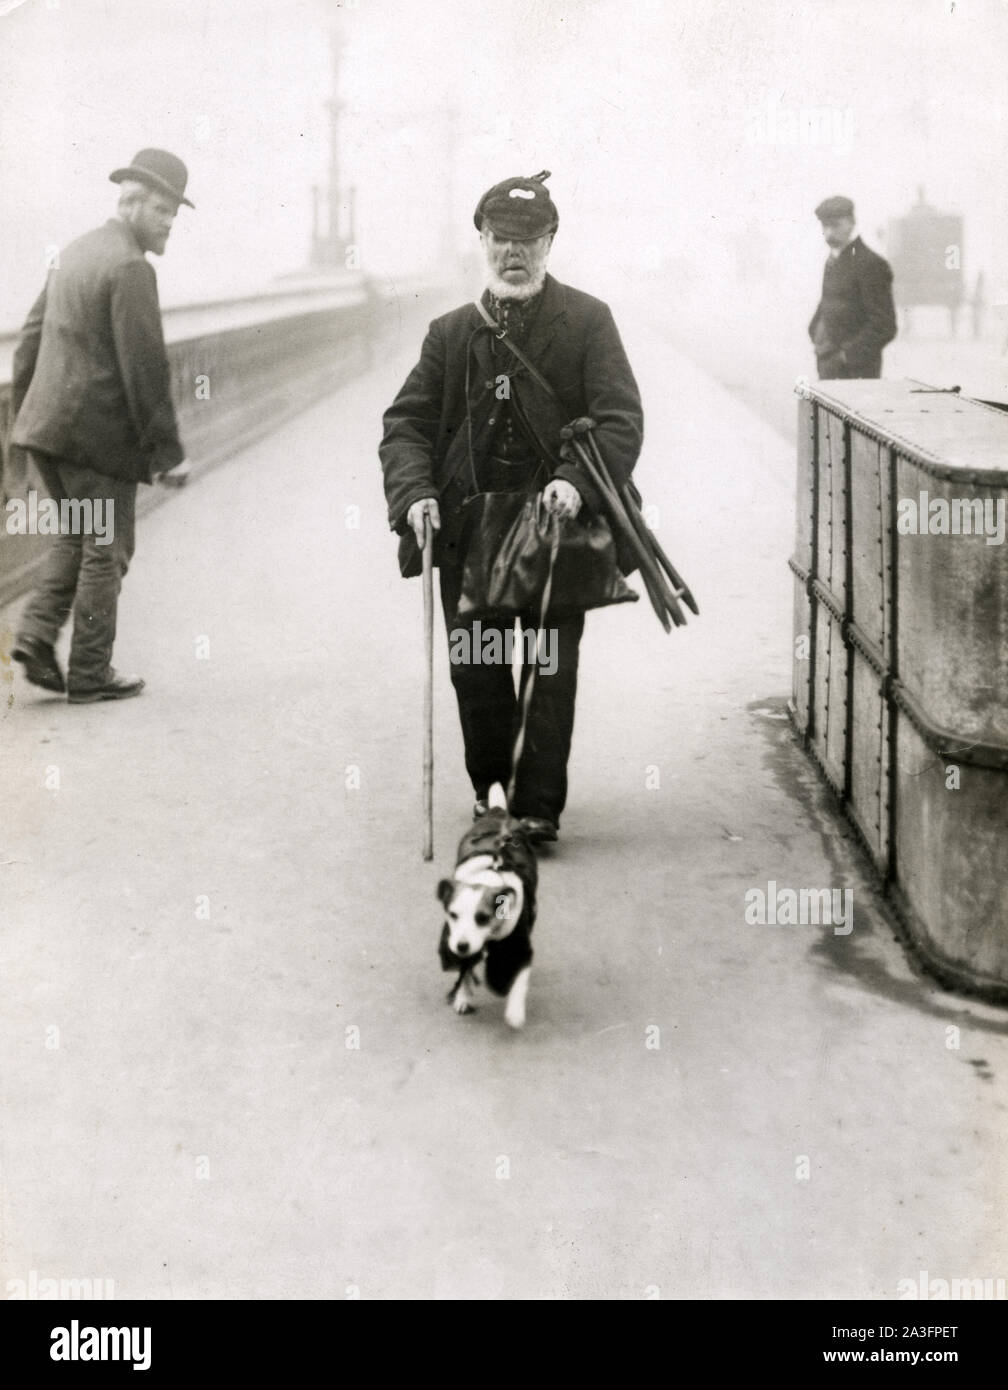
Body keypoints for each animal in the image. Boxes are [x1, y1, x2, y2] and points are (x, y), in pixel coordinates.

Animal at [436, 789, 539, 1028]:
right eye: (453, 915)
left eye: (482, 917)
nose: (462, 946)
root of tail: (498, 811)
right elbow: (465, 972)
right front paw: (462, 997)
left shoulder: (519, 945)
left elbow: (520, 978)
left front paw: (515, 1011)